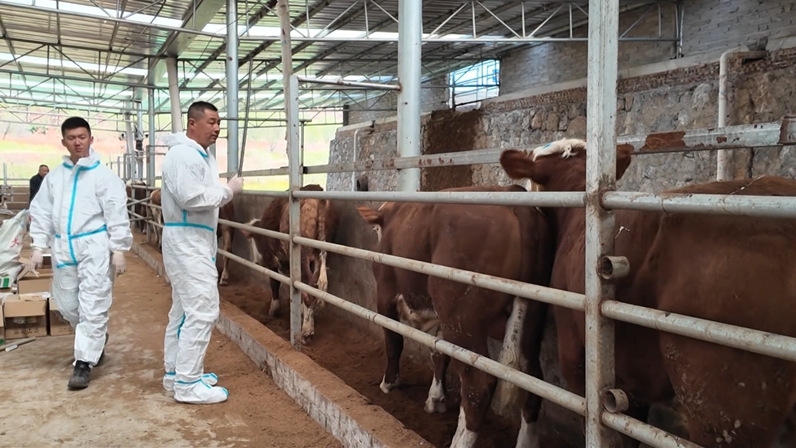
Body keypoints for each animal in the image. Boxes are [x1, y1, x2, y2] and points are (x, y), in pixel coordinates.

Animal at [239, 184, 339, 344]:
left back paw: (306, 331)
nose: (256, 260)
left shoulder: (271, 261)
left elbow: (275, 283)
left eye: (253, 240)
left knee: (309, 289)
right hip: (321, 254)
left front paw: (274, 309)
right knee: (313, 287)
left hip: (302, 256)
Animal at [356, 184, 554, 448]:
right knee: (532, 381)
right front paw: (435, 399)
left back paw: (460, 440)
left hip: (462, 316)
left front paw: (389, 383)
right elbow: (439, 352)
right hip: (532, 317)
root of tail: (515, 195)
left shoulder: (385, 295)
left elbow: (394, 341)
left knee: (478, 385)